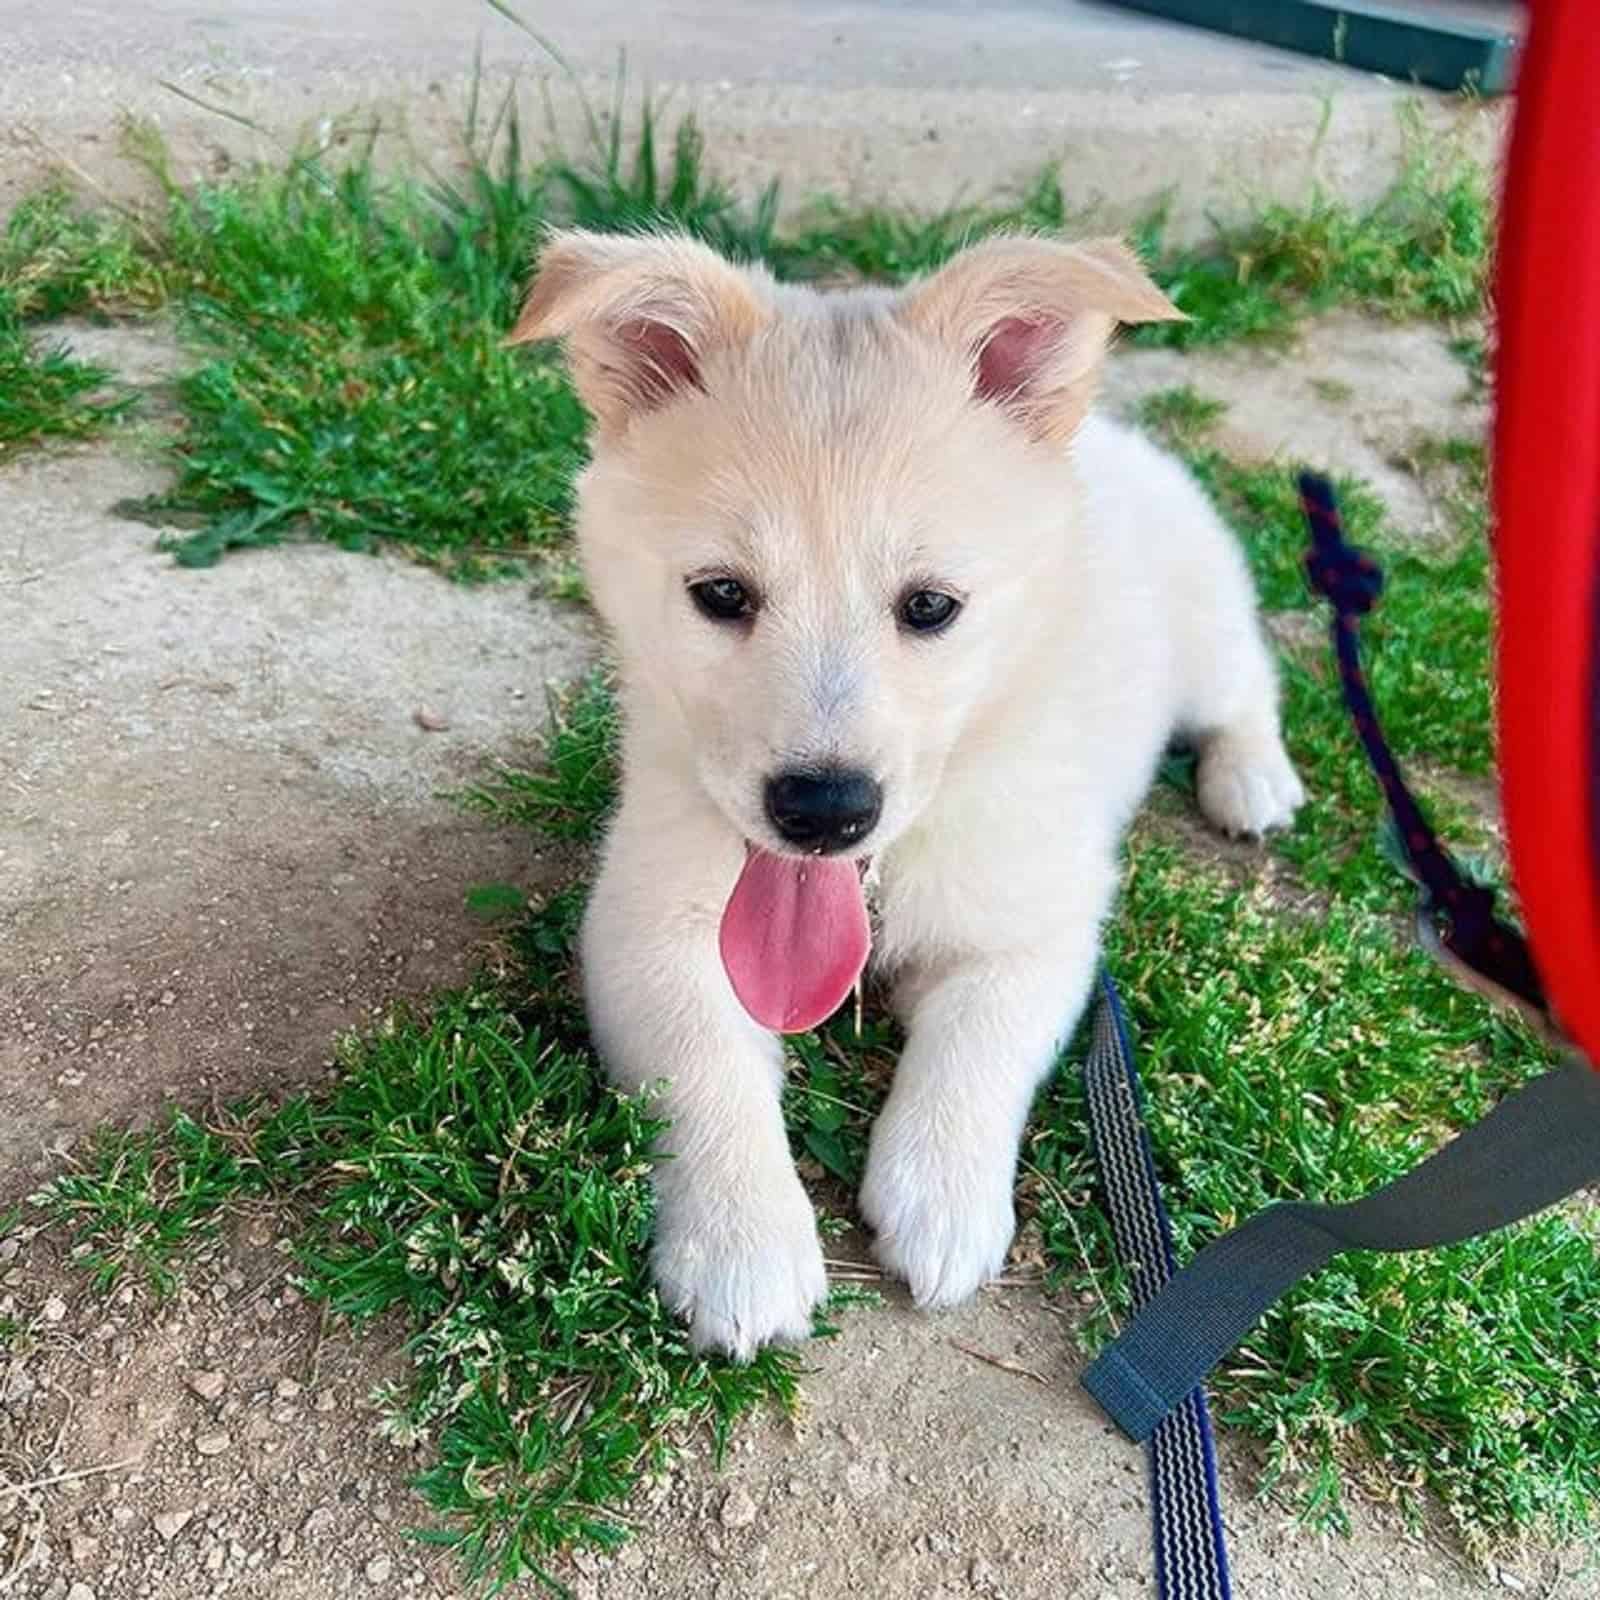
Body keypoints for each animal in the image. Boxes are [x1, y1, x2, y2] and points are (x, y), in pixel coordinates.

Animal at [512, 228, 1299, 1350]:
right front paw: (743, 1246)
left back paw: (1254, 779)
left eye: (930, 606)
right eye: (720, 593)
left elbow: (978, 1047)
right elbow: (702, 1066)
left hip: (1207, 620)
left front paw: (944, 1198)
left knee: (1248, 688)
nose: (822, 811)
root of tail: (1111, 440)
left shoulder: (1038, 927)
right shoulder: (643, 926)